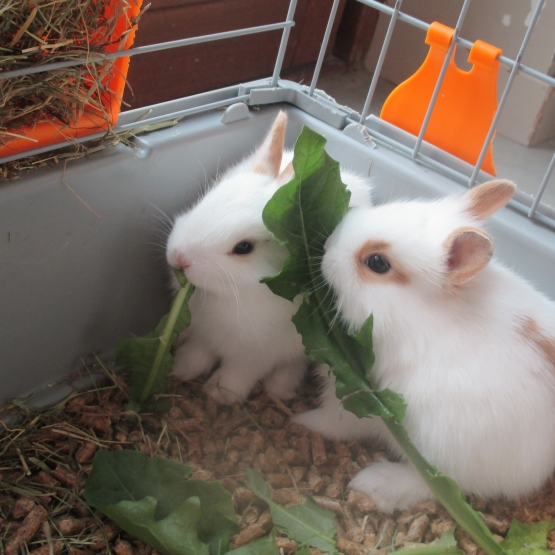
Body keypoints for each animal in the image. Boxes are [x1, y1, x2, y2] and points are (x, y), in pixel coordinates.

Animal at [165, 111, 374, 404]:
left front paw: (221, 392)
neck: (228, 296)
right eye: (207, 198)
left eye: (243, 247)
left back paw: (281, 387)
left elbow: (241, 370)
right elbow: (198, 351)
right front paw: (181, 368)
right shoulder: (204, 333)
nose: (179, 258)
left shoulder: (259, 351)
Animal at [298, 180, 555, 516]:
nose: (327, 245)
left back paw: (374, 484)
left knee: (439, 486)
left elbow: (333, 420)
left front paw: (301, 420)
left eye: (377, 263)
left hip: (439, 451)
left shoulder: (358, 397)